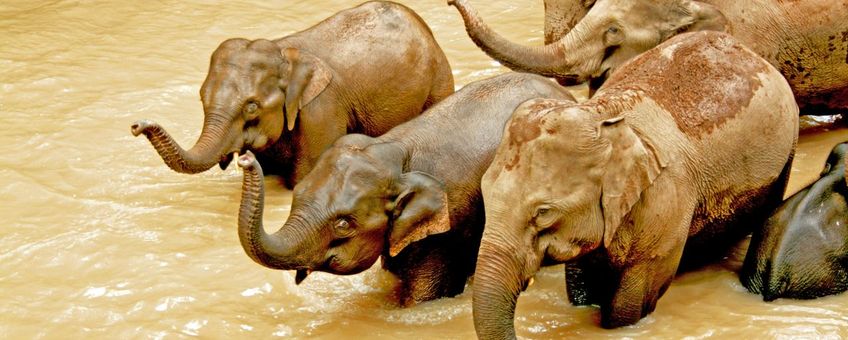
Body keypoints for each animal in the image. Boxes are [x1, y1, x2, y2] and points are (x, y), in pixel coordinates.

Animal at [129, 0, 454, 187]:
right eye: (200, 98)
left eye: (251, 107)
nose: (136, 125)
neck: (283, 52)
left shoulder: (322, 110)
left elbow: (302, 178)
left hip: (439, 78)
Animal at [232, 72, 576, 306]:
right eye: (297, 195)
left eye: (343, 224)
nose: (245, 158)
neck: (395, 150)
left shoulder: (449, 227)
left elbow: (422, 298)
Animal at [474, 31, 800, 338]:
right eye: (486, 198)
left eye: (543, 213)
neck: (602, 115)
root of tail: (749, 52)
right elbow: (580, 283)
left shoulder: (664, 204)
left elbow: (630, 304)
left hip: (786, 155)